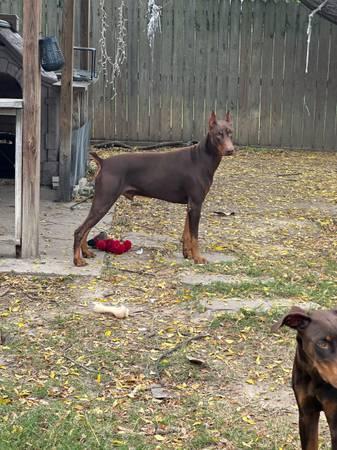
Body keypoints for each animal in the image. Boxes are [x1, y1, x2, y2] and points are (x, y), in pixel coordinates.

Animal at [73, 112, 234, 266]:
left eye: (230, 132)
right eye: (218, 134)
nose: (231, 150)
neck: (202, 157)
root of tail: (104, 162)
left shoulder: (191, 205)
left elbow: (187, 233)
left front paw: (187, 254)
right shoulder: (196, 204)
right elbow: (195, 236)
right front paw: (198, 258)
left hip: (101, 202)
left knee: (87, 229)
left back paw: (86, 252)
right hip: (104, 201)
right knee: (79, 230)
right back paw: (78, 260)